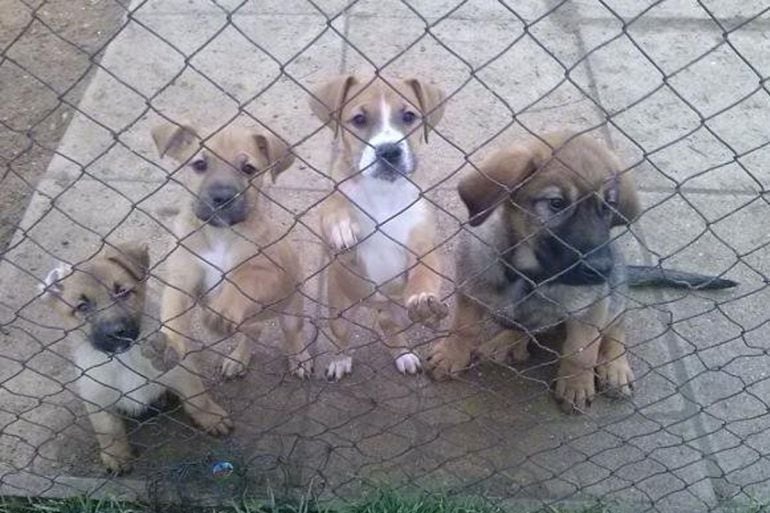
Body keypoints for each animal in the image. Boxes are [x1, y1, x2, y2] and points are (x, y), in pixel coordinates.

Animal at [39, 243, 231, 472]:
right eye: (82, 307)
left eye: (122, 292)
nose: (116, 332)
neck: (125, 359)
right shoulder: (97, 397)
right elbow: (108, 430)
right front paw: (116, 455)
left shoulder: (178, 370)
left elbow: (197, 398)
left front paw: (212, 418)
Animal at [152, 120, 310, 376]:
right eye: (200, 164)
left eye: (248, 169)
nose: (223, 197)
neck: (221, 234)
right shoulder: (182, 277)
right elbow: (173, 312)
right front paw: (170, 343)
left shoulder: (266, 269)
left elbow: (242, 280)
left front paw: (223, 309)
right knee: (253, 332)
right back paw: (238, 359)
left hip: (291, 311)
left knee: (292, 334)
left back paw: (300, 358)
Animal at [308, 75, 448, 380]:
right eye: (359, 119)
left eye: (409, 116)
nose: (389, 151)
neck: (384, 191)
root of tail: (378, 304)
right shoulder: (327, 211)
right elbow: (333, 208)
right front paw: (342, 226)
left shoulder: (422, 242)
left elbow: (424, 271)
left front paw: (423, 297)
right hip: (339, 310)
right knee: (343, 337)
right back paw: (340, 360)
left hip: (398, 311)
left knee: (390, 328)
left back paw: (407, 351)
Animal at [428, 131, 736, 412]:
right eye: (557, 203)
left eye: (608, 206)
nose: (602, 269)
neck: (532, 275)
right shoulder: (470, 288)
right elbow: (463, 328)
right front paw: (451, 355)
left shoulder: (592, 306)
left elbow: (582, 352)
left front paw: (576, 384)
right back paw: (509, 340)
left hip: (614, 297)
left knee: (616, 328)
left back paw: (615, 367)